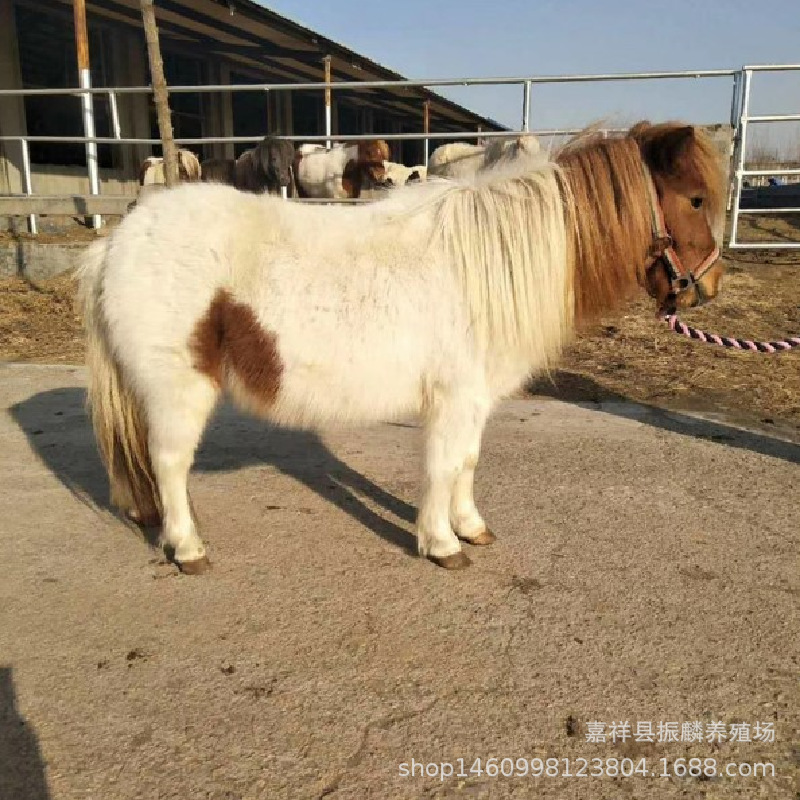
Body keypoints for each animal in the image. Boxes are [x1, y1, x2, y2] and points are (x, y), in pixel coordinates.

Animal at [78, 121, 725, 574]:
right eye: (694, 198)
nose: (709, 288)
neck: (482, 263)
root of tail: (118, 242)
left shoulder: (473, 400)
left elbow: (466, 462)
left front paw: (470, 527)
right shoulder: (450, 399)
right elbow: (441, 467)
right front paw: (441, 544)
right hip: (176, 389)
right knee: (169, 464)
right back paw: (188, 548)